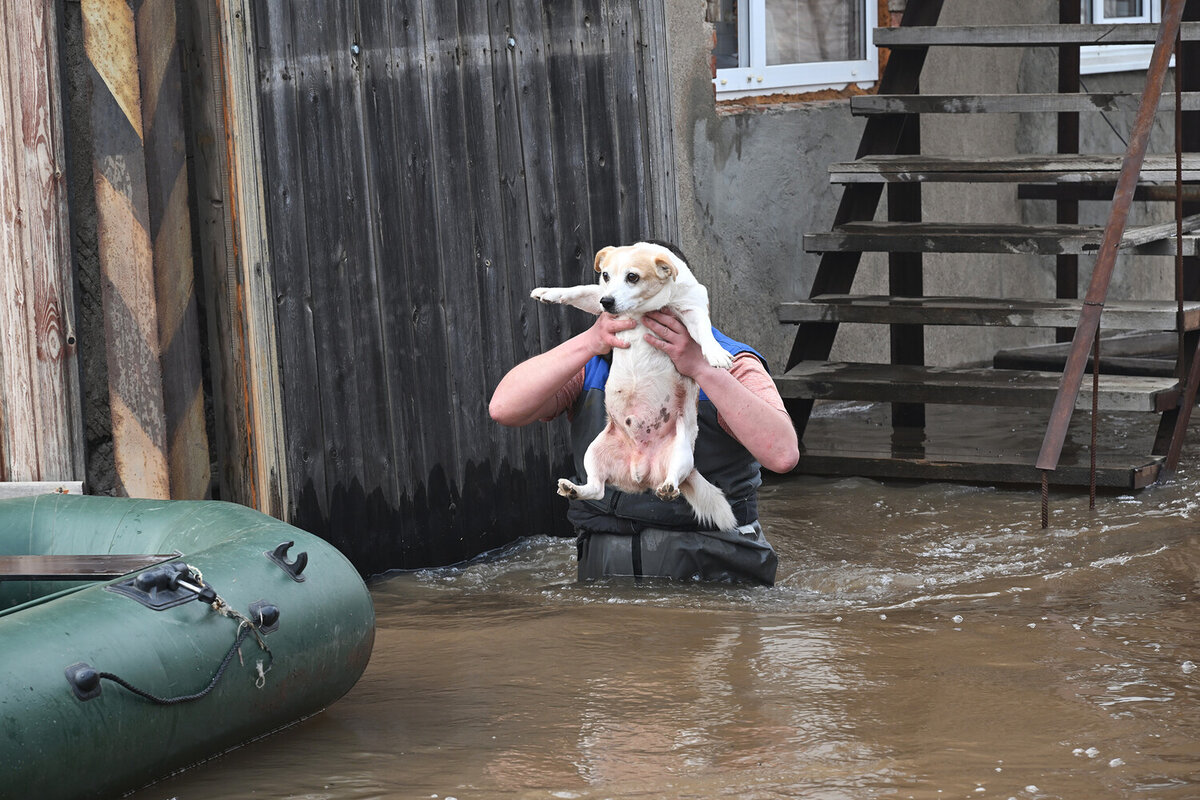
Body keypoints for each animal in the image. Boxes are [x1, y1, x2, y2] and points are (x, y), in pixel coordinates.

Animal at [530, 244, 734, 532]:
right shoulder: (597, 295)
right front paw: (548, 292)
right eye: (605, 275)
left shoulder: (692, 309)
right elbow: (579, 289)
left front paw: (715, 353)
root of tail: (640, 471)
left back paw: (668, 488)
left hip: (682, 454)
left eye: (633, 277)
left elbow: (704, 332)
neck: (641, 310)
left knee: (672, 479)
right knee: (597, 489)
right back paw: (574, 489)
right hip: (593, 452)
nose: (607, 302)